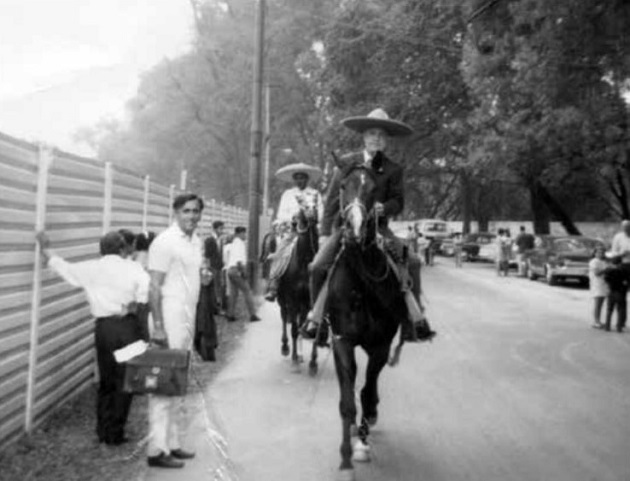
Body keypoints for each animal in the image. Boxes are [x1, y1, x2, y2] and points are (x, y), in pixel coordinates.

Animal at [278, 207, 318, 364]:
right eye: (303, 206)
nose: (312, 216)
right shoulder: (292, 299)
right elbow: (294, 328)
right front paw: (294, 356)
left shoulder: (310, 300)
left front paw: (311, 360)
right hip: (282, 299)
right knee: (284, 317)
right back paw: (285, 347)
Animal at [324, 163, 408, 478]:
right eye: (342, 186)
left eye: (374, 189)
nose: (354, 228)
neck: (361, 285)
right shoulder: (341, 341)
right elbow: (347, 402)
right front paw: (346, 456)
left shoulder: (381, 346)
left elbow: (367, 391)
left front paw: (362, 441)